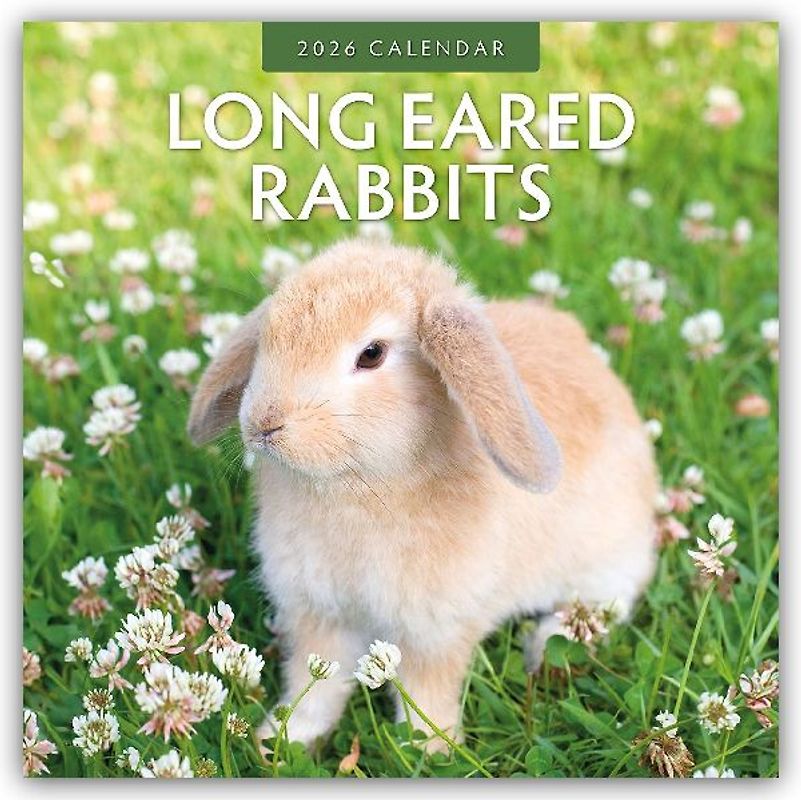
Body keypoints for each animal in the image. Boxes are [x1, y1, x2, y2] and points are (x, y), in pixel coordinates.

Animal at [187, 239, 657, 750]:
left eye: (372, 354)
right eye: (268, 336)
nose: (264, 422)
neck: (357, 488)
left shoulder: (435, 631)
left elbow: (426, 696)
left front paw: (433, 750)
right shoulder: (319, 616)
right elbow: (315, 684)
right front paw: (282, 738)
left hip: (605, 564)